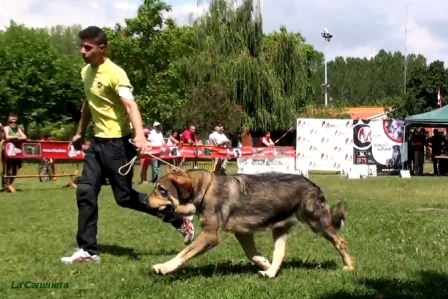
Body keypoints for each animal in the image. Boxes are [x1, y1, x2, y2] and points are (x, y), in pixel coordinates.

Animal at [149, 170, 356, 280]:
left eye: (162, 190)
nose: (145, 201)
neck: (204, 189)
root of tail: (314, 185)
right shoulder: (243, 233)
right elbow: (253, 255)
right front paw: (265, 263)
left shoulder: (210, 235)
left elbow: (183, 253)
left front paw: (164, 267)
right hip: (280, 228)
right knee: (279, 253)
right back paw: (270, 272)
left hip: (317, 223)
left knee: (341, 242)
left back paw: (350, 266)